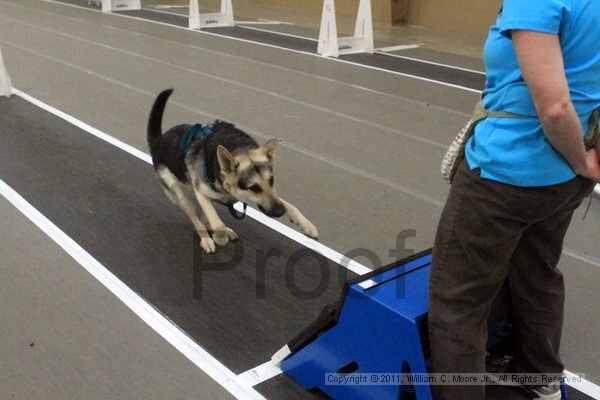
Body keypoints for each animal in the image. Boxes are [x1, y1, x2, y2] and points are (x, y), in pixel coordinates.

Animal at [146, 90, 318, 253]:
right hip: (180, 196)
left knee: (204, 218)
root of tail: (158, 140)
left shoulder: (270, 194)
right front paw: (219, 237)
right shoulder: (201, 193)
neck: (237, 148)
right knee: (197, 220)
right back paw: (207, 239)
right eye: (253, 187)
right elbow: (217, 223)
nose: (280, 212)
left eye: (271, 180)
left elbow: (289, 204)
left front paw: (306, 225)